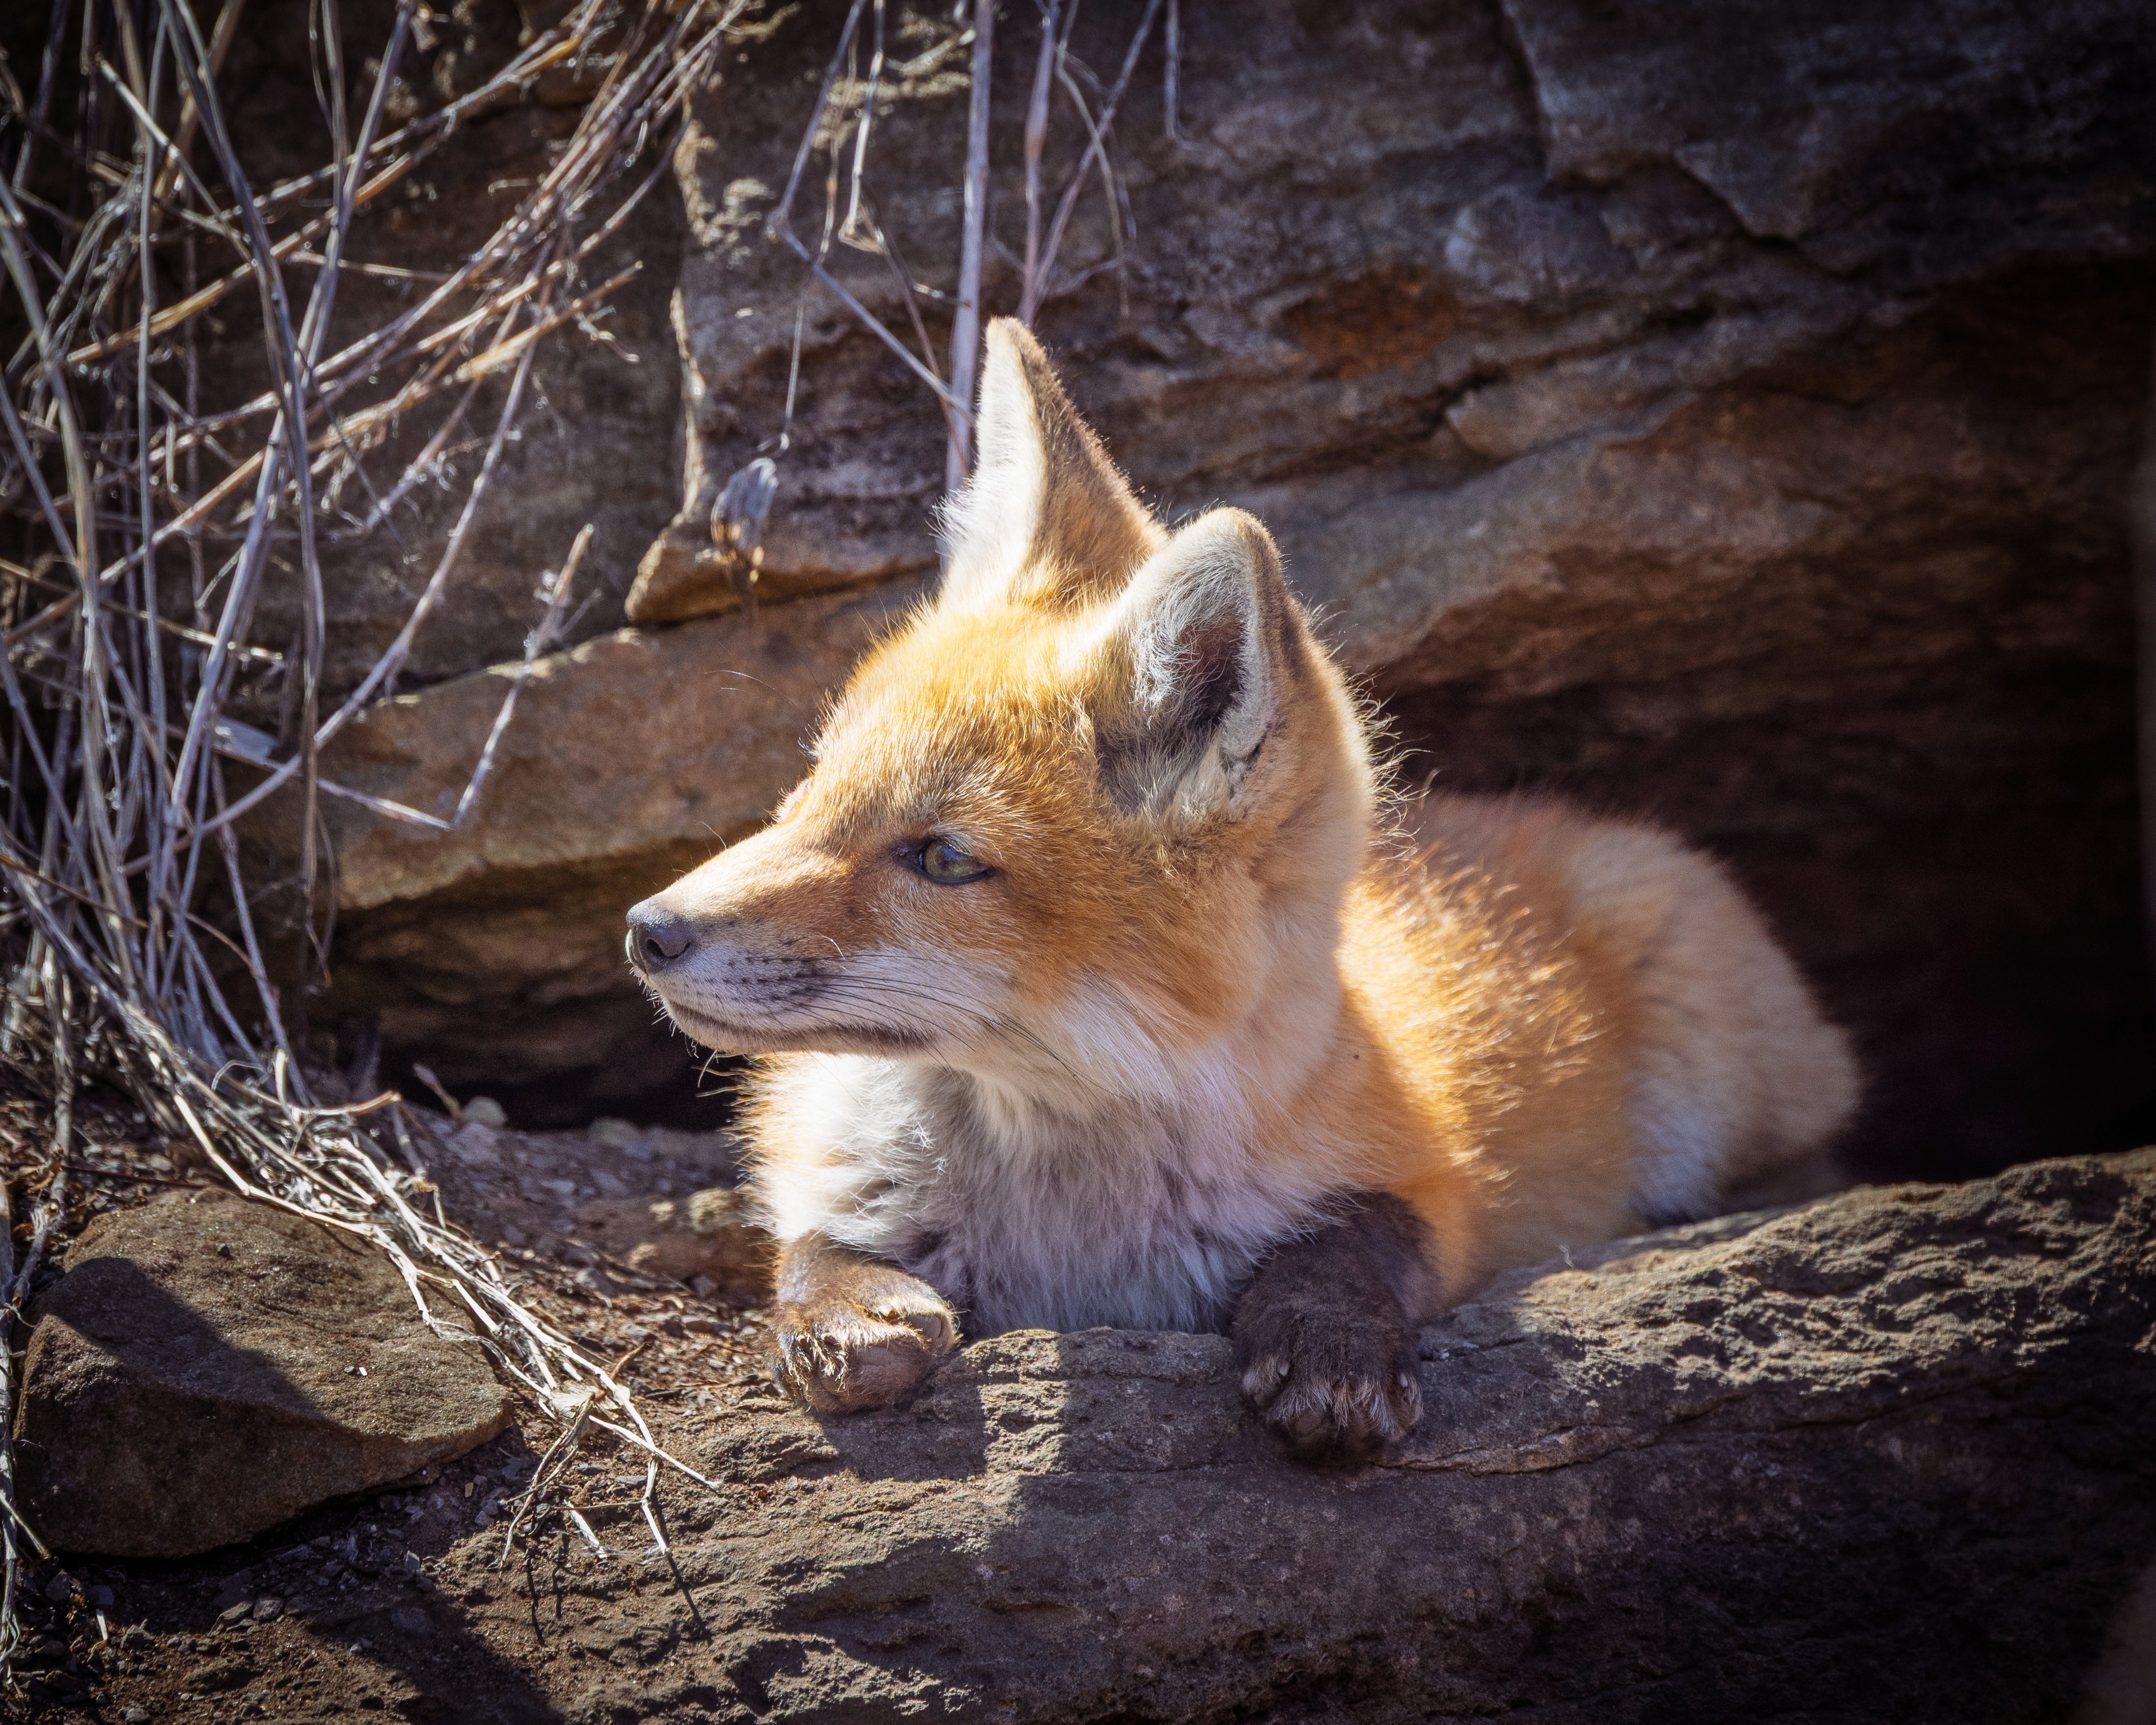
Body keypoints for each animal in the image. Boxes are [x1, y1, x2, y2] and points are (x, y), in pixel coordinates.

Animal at [626, 319, 1858, 1462]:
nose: (648, 930)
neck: (1070, 1226)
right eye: (813, 785)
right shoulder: (818, 1157)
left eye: (941, 859)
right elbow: (805, 1243)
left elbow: (1358, 1236)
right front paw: (850, 1308)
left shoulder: (1430, 1175)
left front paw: (1328, 1343)